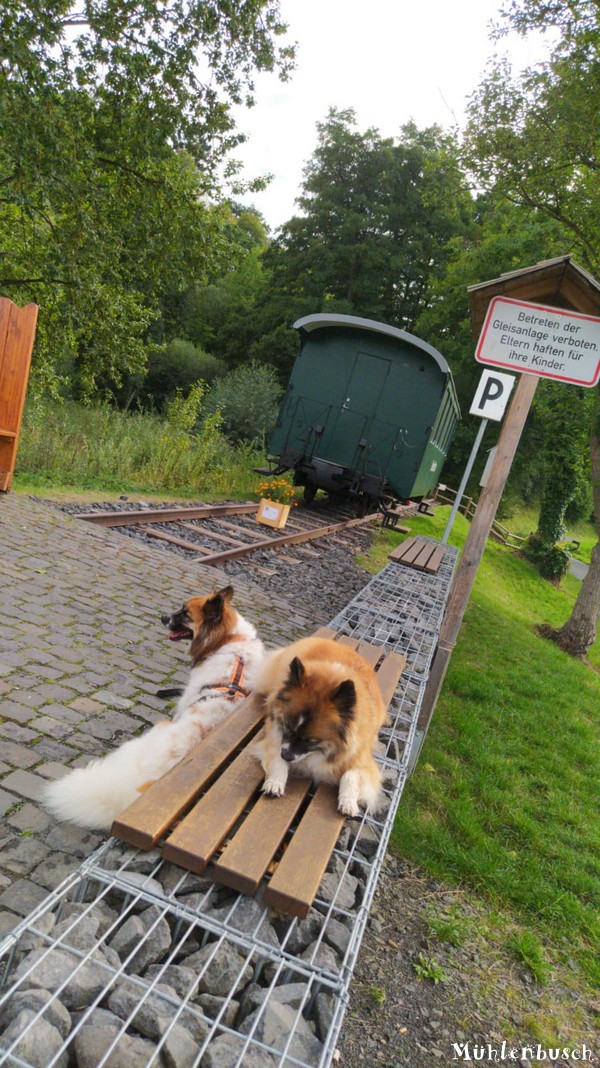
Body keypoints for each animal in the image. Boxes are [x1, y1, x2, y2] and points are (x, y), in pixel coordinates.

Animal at [250, 632, 382, 815]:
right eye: (287, 727)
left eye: (311, 740)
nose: (286, 756)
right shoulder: (274, 740)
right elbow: (277, 761)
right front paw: (275, 782)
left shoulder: (362, 760)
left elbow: (350, 776)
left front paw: (348, 802)